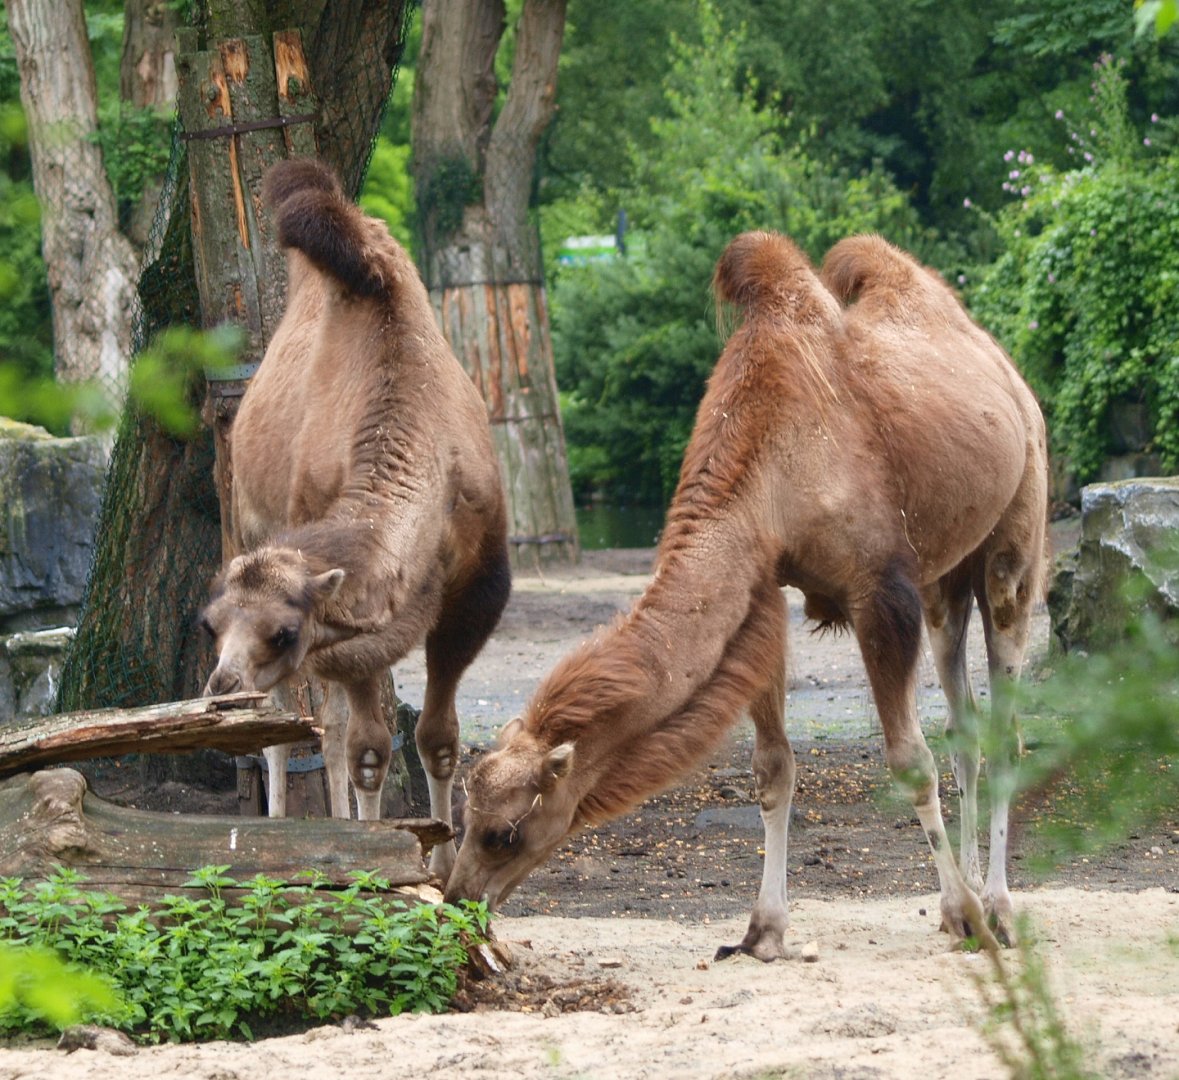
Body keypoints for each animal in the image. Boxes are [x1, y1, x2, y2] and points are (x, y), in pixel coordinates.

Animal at [201, 158, 510, 878]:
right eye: (209, 624)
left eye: (283, 631)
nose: (221, 685)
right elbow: (371, 750)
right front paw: (391, 862)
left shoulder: (476, 592)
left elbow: (438, 738)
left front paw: (443, 865)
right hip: (247, 523)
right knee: (290, 724)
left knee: (326, 725)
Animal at [444, 230, 1048, 957]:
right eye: (465, 815)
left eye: (502, 832)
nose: (456, 900)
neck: (770, 464)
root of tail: (1001, 366)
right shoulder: (764, 591)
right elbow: (772, 767)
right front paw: (763, 930)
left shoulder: (880, 591)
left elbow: (909, 760)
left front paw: (963, 915)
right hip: (941, 583)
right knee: (964, 724)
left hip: (1016, 531)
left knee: (1006, 718)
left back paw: (999, 909)